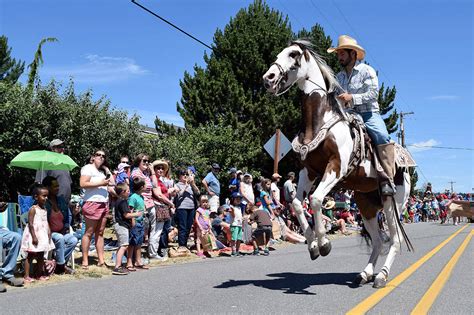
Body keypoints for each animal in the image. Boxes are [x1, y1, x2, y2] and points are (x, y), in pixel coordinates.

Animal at [262, 39, 414, 288]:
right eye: (277, 54)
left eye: (293, 54)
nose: (269, 77)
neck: (319, 121)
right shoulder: (308, 171)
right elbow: (297, 203)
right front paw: (313, 245)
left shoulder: (335, 167)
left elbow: (315, 199)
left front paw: (324, 244)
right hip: (366, 205)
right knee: (378, 240)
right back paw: (364, 274)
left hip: (394, 204)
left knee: (394, 239)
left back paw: (381, 276)